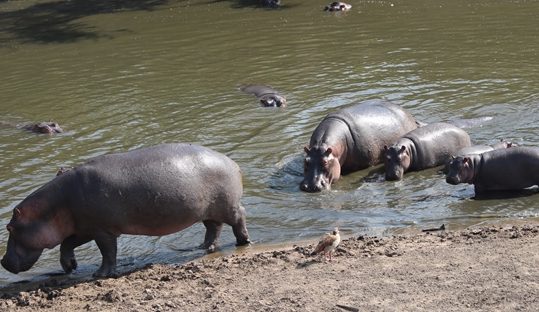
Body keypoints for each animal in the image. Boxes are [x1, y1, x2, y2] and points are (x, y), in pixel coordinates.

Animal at [1, 144, 251, 278]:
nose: (2, 262)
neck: (54, 204)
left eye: (9, 227)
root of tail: (232, 162)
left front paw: (101, 274)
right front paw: (70, 266)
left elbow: (107, 252)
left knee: (239, 217)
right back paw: (203, 248)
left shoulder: (102, 231)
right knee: (213, 229)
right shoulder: (85, 228)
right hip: (206, 211)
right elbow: (67, 243)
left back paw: (243, 242)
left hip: (228, 207)